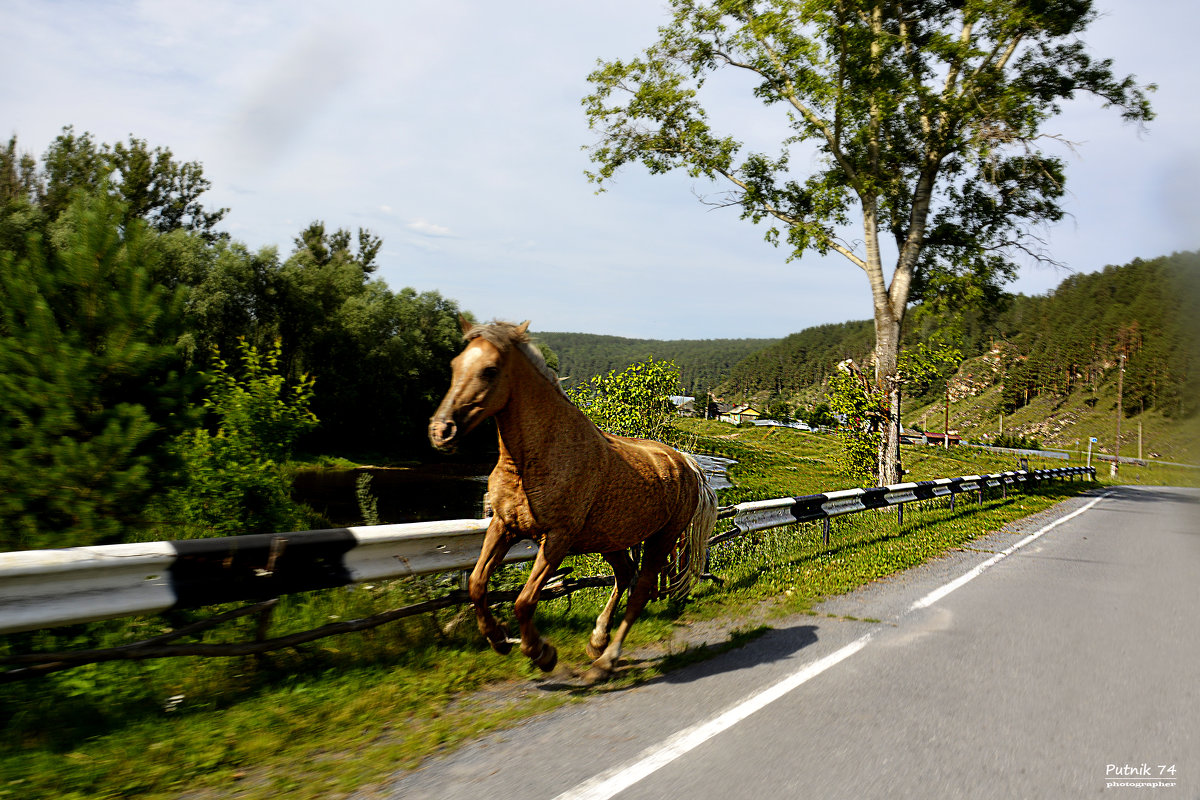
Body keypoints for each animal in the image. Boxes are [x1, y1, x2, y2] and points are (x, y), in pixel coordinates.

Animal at [429, 319, 715, 681]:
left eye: (490, 370)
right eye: (455, 365)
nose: (441, 431)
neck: (535, 459)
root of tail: (687, 463)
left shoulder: (557, 539)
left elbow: (524, 601)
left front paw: (541, 653)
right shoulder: (503, 526)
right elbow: (478, 585)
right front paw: (498, 639)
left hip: (662, 538)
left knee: (640, 590)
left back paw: (605, 662)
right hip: (611, 540)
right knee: (626, 576)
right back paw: (597, 641)